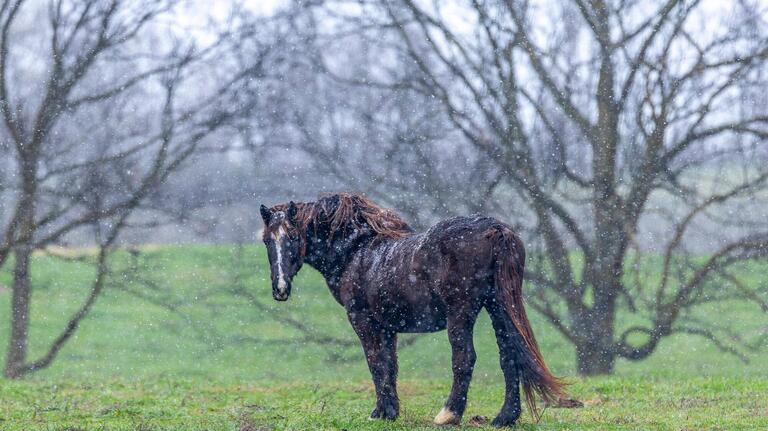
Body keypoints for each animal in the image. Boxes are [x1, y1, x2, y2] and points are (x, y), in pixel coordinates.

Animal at [259, 193, 564, 427]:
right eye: (267, 240)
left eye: (293, 236)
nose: (280, 289)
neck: (357, 250)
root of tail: (496, 229)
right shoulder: (387, 325)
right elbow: (390, 365)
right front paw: (389, 412)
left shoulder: (362, 320)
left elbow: (375, 363)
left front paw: (380, 412)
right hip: (498, 308)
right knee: (509, 356)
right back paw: (504, 418)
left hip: (462, 313)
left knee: (464, 358)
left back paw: (448, 414)